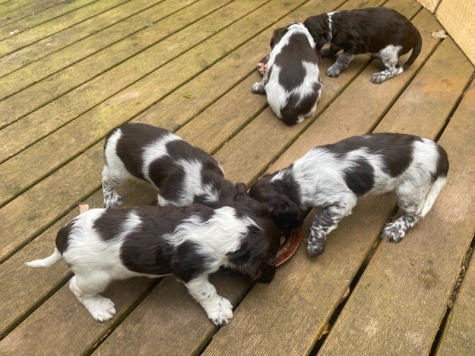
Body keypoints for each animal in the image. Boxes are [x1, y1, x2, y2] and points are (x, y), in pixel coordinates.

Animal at [26, 203, 280, 326]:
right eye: (270, 257)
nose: (272, 278)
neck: (221, 226)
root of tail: (63, 236)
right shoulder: (192, 275)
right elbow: (208, 292)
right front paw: (218, 311)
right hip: (95, 276)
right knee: (75, 287)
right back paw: (99, 308)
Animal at [249, 133, 450, 256]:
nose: (281, 236)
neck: (295, 180)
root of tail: (439, 151)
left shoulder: (343, 200)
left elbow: (319, 220)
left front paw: (315, 245)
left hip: (408, 190)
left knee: (414, 215)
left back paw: (396, 229)